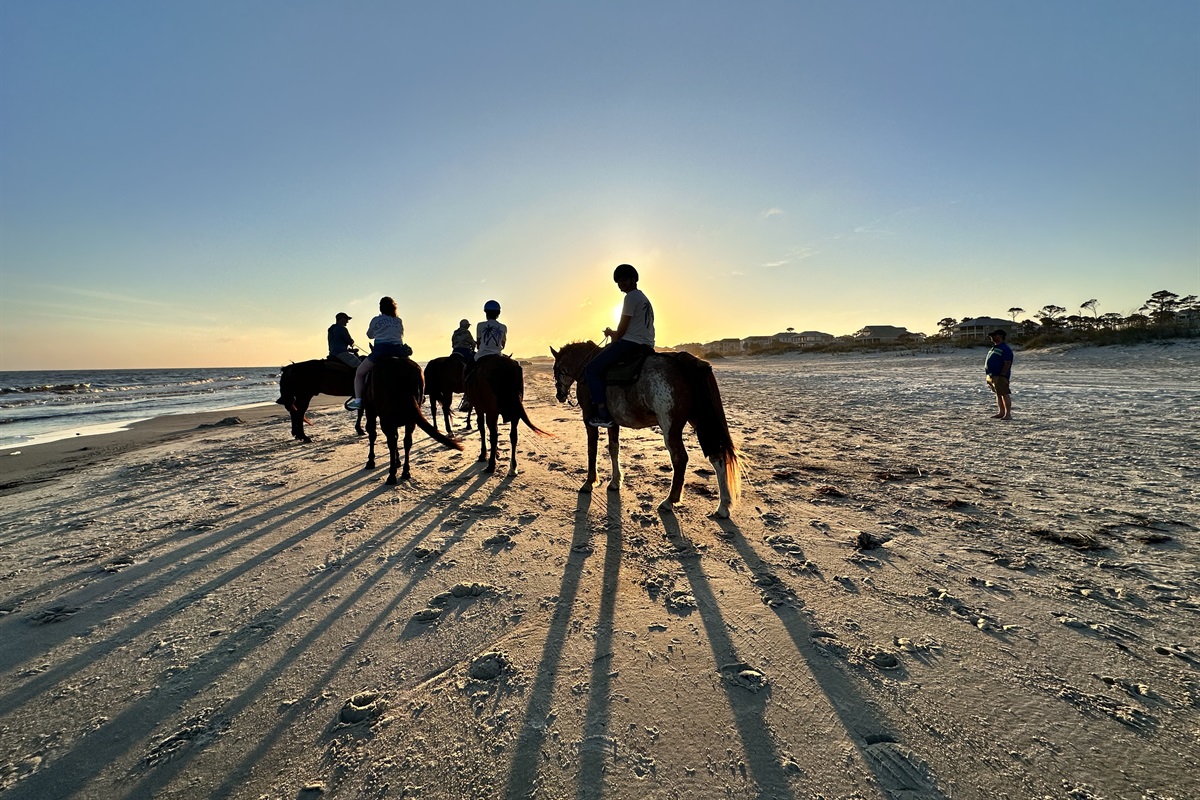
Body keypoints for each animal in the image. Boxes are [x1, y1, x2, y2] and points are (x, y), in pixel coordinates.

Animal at [549, 343, 739, 520]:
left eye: (556, 370)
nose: (559, 395)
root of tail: (686, 361)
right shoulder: (613, 423)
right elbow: (614, 449)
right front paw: (615, 481)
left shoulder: (589, 420)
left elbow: (591, 451)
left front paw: (589, 483)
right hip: (701, 419)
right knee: (717, 456)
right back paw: (723, 506)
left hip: (670, 426)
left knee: (680, 458)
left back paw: (669, 501)